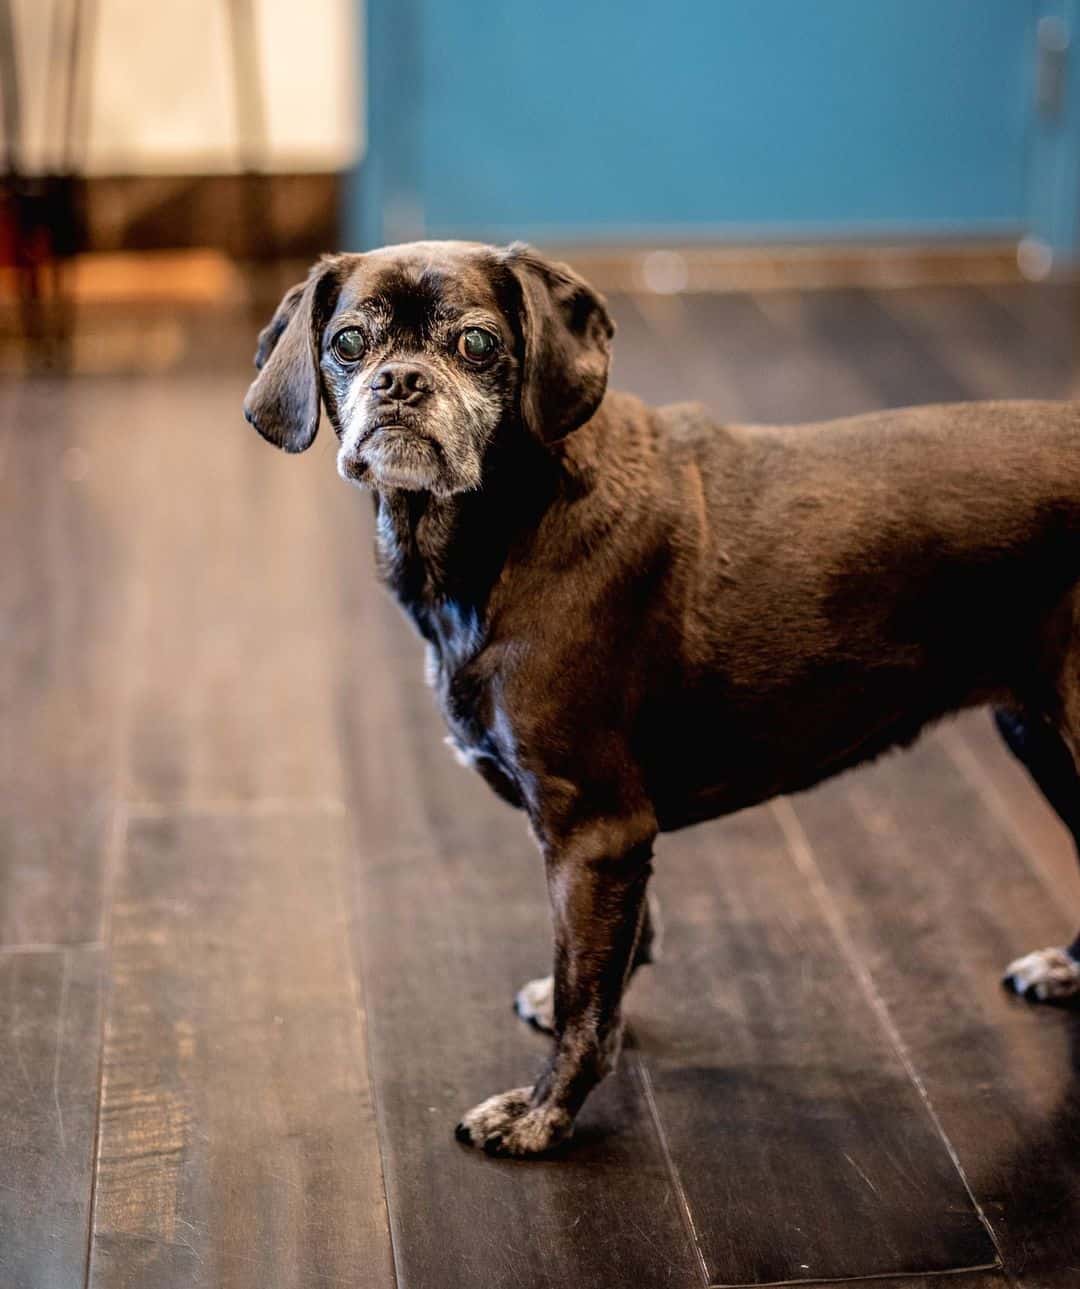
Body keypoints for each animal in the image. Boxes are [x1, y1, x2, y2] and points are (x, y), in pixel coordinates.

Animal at [244, 242, 1080, 1160]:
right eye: (349, 342)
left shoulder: (594, 826)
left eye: (477, 344)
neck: (509, 527)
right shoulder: (613, 840)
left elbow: (586, 994)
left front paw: (543, 1112)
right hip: (1039, 736)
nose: (398, 381)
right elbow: (613, 953)